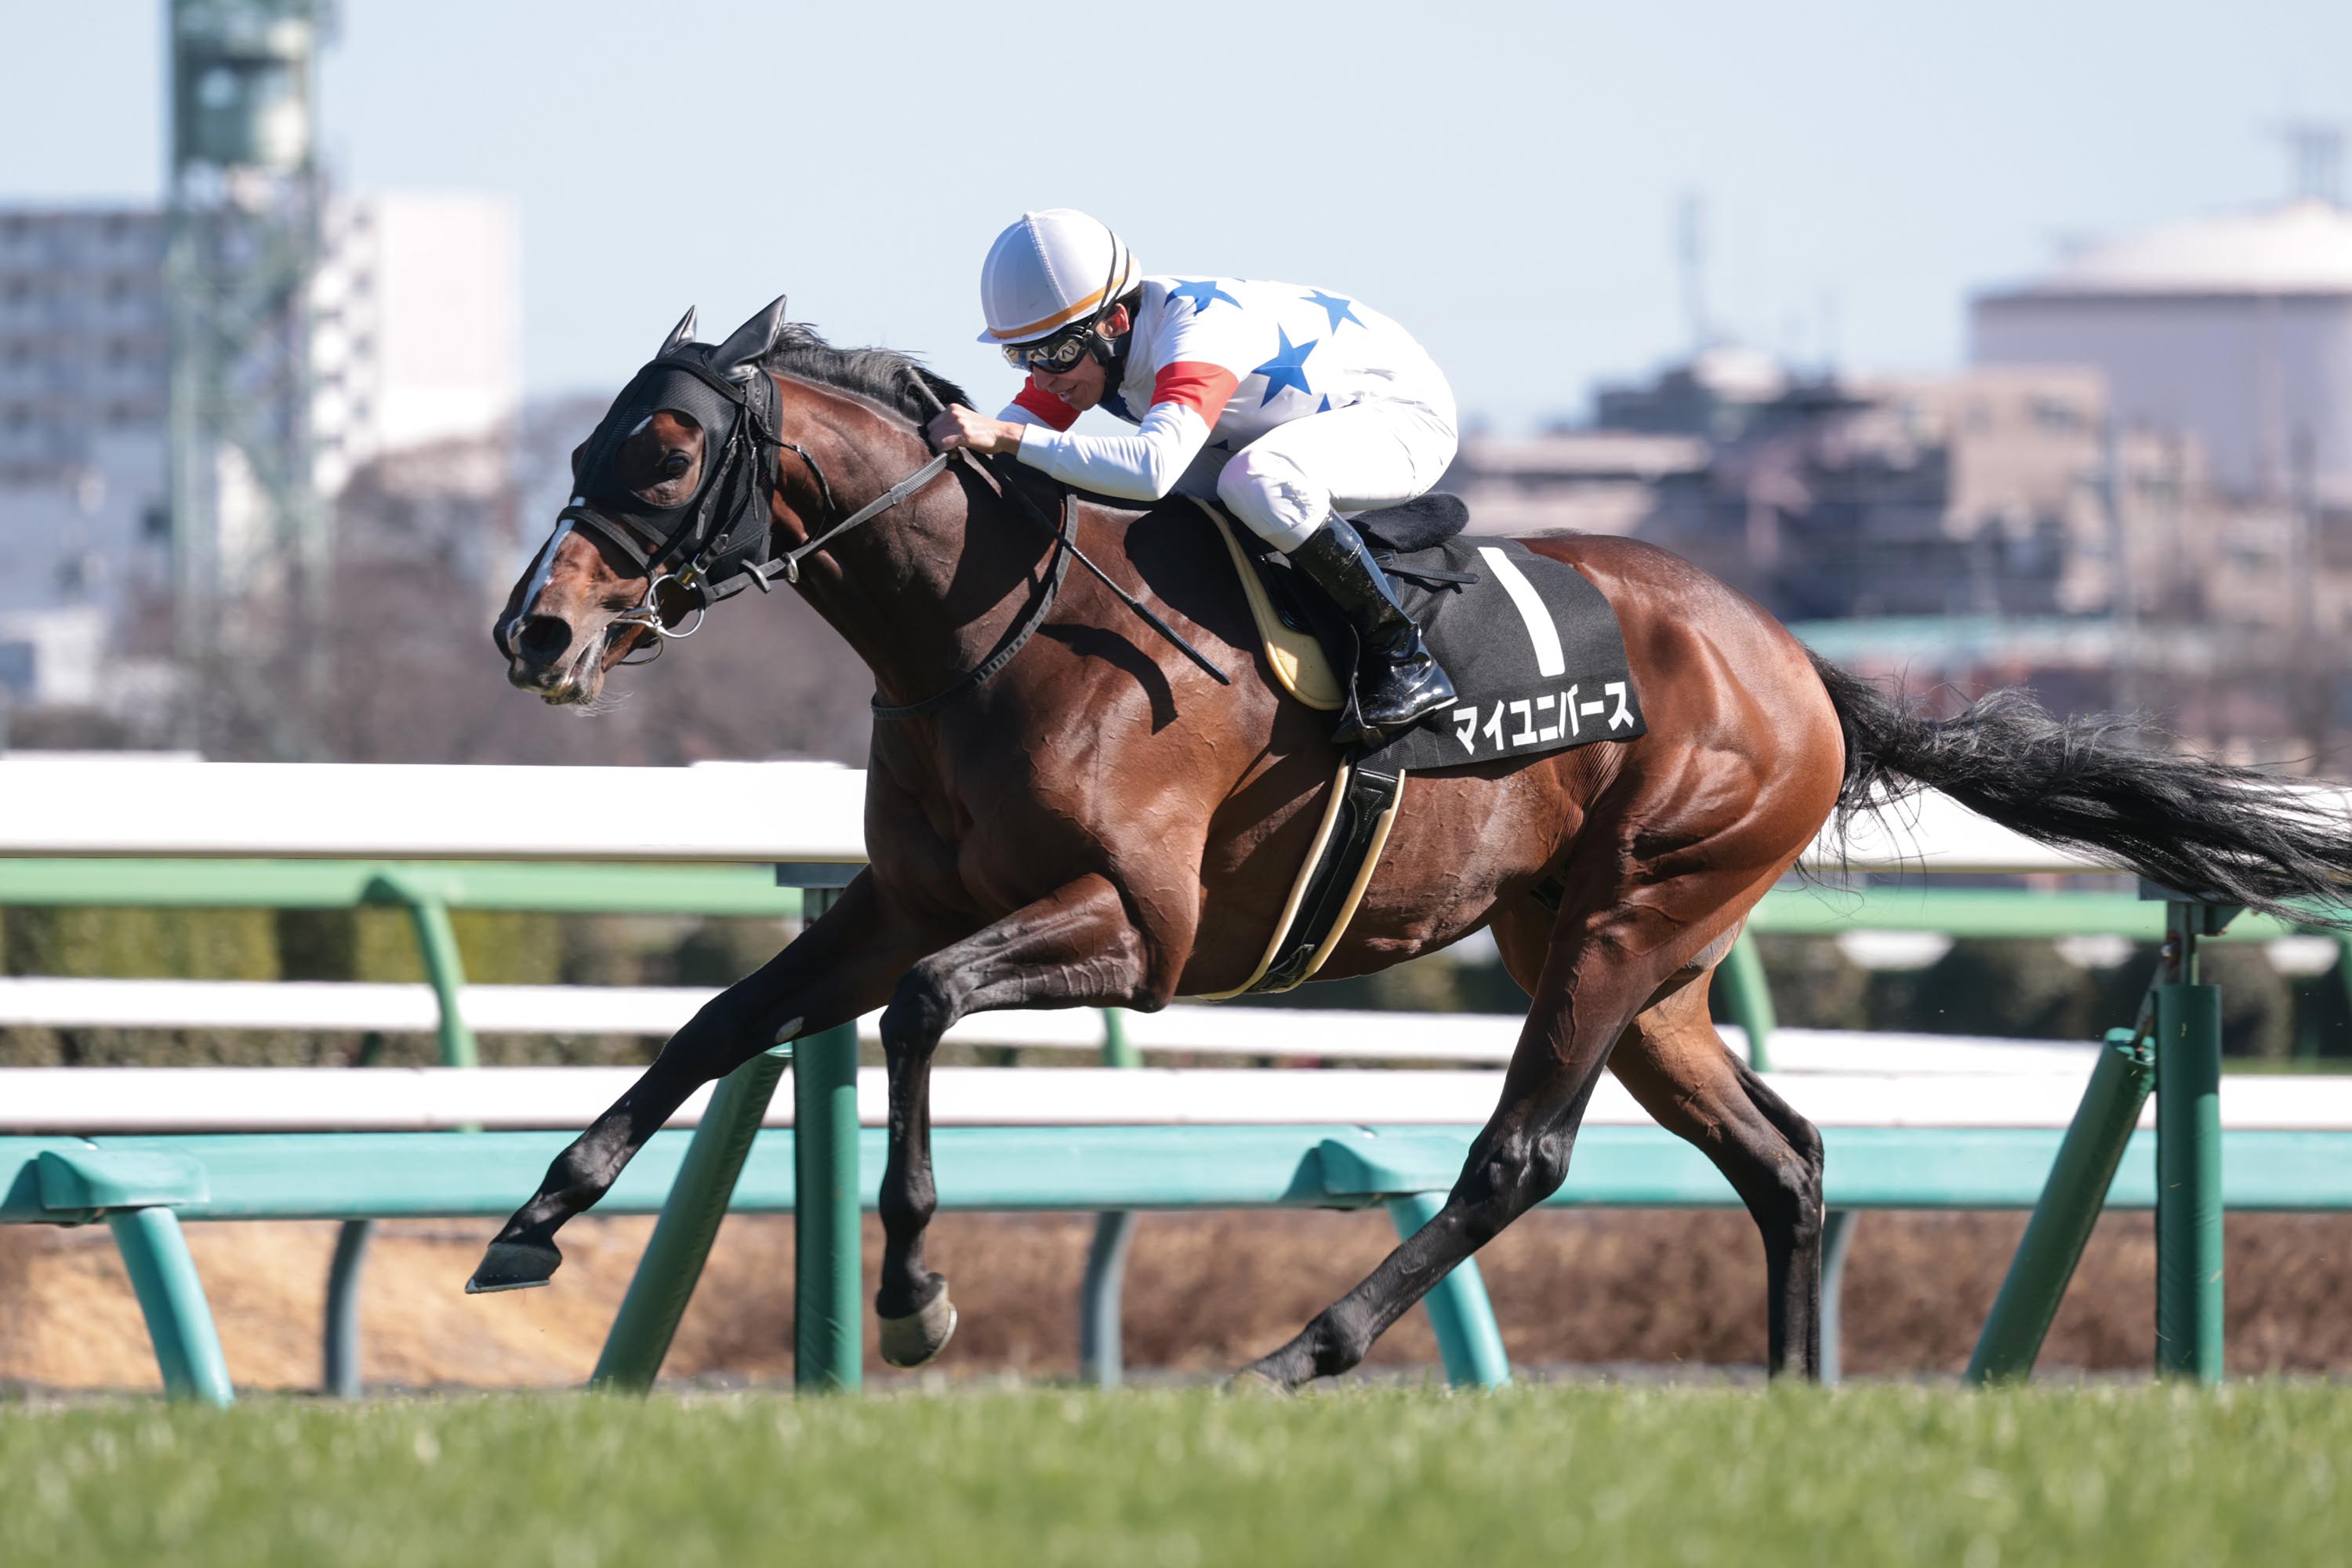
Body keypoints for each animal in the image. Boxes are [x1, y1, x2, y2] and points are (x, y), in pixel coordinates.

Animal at [476, 298, 2352, 1388]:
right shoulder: (896, 898)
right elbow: (727, 1019)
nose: (535, 634)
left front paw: (918, 1289)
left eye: (665, 447)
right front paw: (537, 1218)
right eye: (583, 438)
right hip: (1629, 958)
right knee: (1784, 1156)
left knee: (1521, 1160)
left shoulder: (1140, 931)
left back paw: (1304, 1351)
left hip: (1628, 924)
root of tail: (1802, 664)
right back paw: (1782, 1402)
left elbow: (925, 1011)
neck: (982, 628)